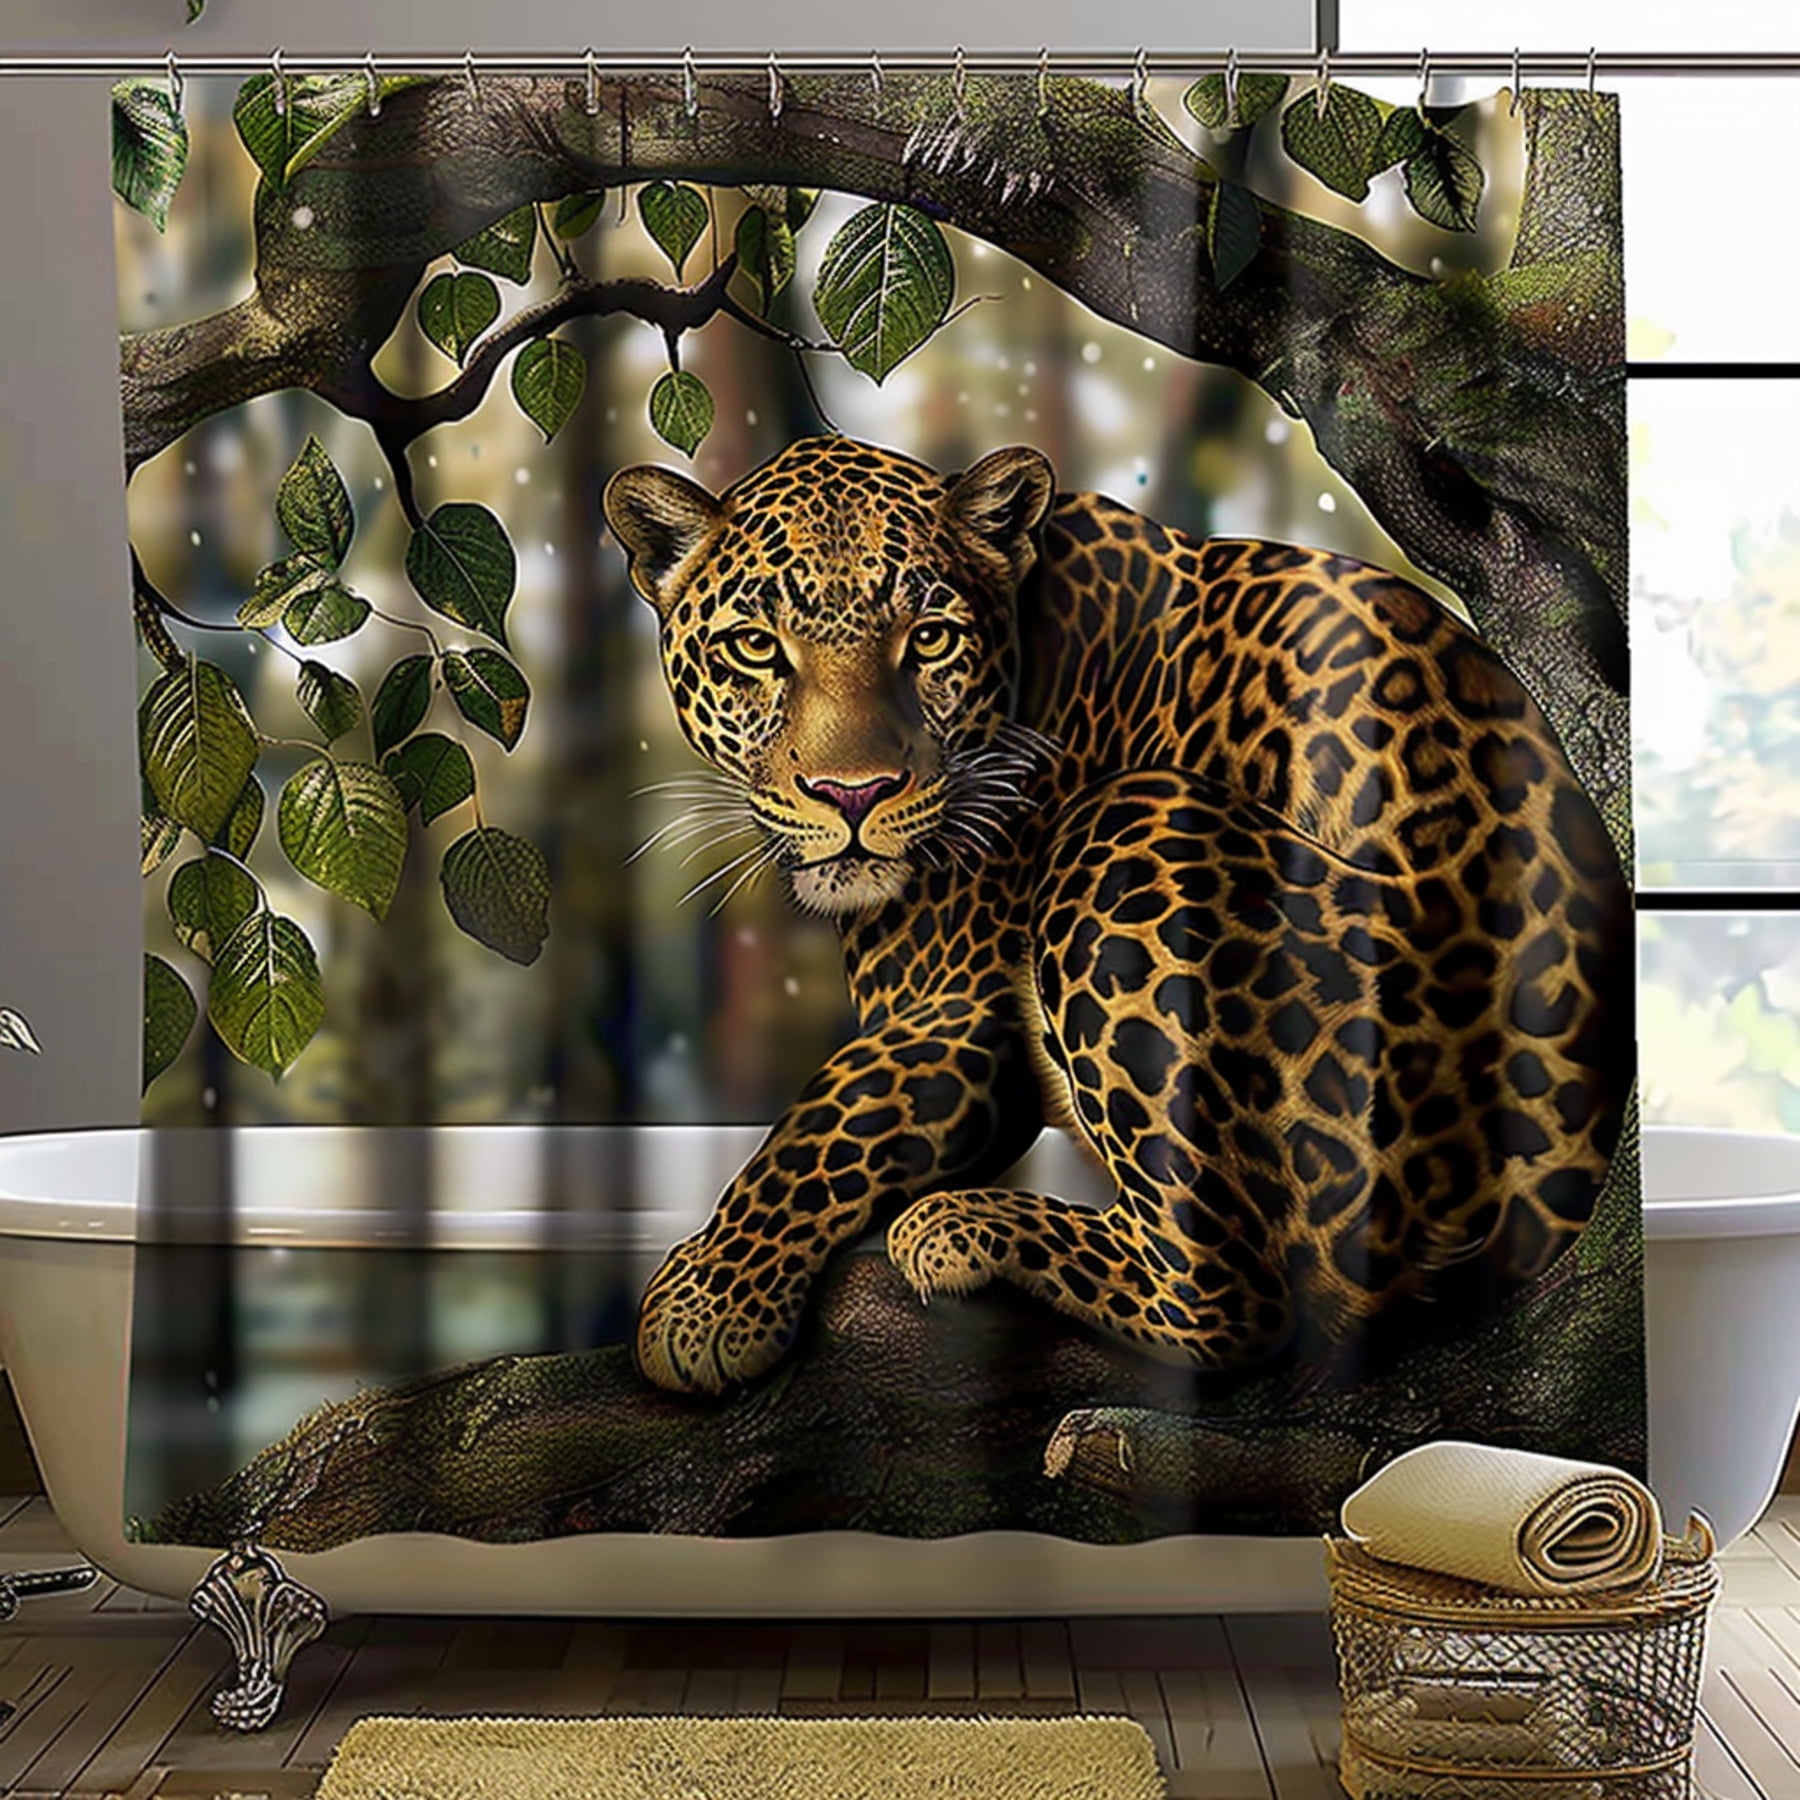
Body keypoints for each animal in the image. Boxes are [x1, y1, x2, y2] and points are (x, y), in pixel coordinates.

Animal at [602, 435, 1633, 1401]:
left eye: (929, 640)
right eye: (756, 647)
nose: (852, 794)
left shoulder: (962, 1007)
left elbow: (829, 1114)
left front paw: (711, 1299)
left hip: (1132, 826)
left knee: (1234, 1296)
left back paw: (967, 1224)